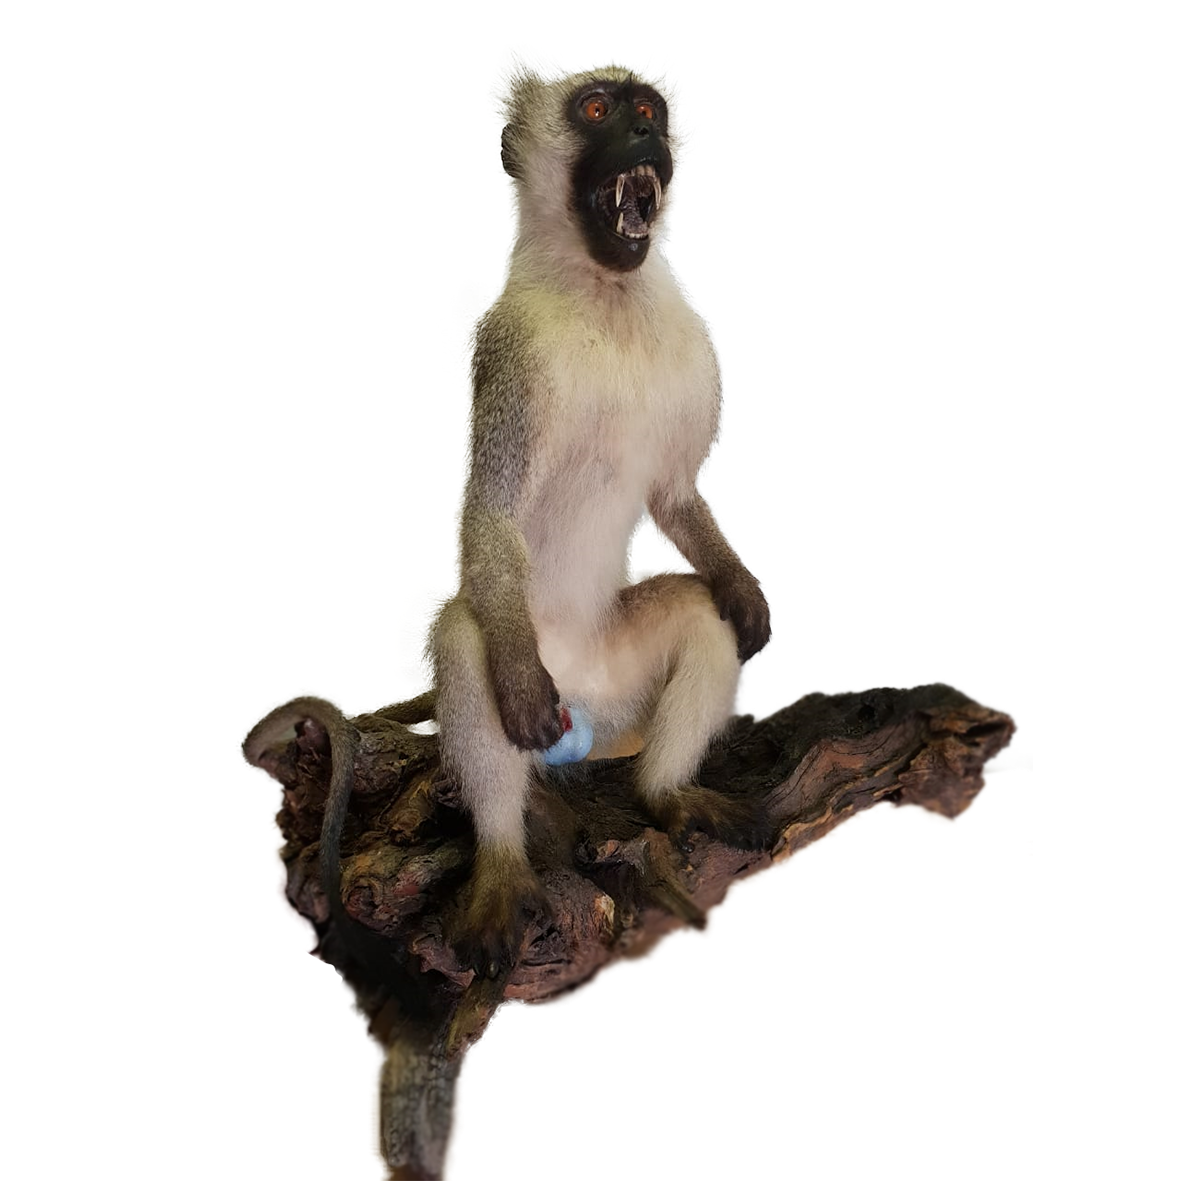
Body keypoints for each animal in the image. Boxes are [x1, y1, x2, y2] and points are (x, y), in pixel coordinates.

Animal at [432, 66, 772, 978]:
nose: (644, 136)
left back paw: (665, 793)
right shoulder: (510, 353)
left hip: (623, 691)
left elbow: (677, 496)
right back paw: (503, 863)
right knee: (466, 634)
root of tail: (584, 715)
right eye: (595, 110)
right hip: (542, 665)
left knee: (697, 616)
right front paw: (514, 688)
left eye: (647, 109)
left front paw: (743, 587)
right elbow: (490, 511)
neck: (608, 290)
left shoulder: (695, 347)